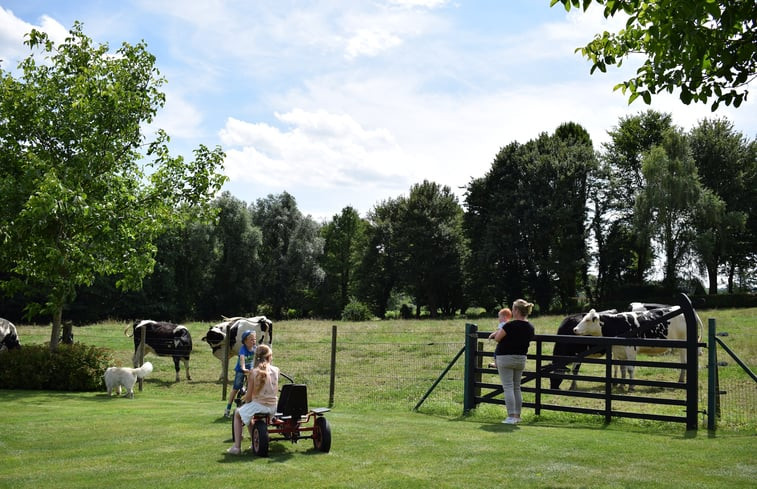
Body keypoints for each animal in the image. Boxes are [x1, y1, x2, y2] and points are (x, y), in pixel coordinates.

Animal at [572, 306, 704, 384]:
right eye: (584, 318)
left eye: (588, 320)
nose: (574, 329)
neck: (618, 324)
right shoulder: (619, 351)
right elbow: (621, 368)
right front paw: (621, 384)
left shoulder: (631, 349)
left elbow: (630, 368)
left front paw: (630, 386)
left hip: (683, 345)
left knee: (684, 362)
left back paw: (681, 380)